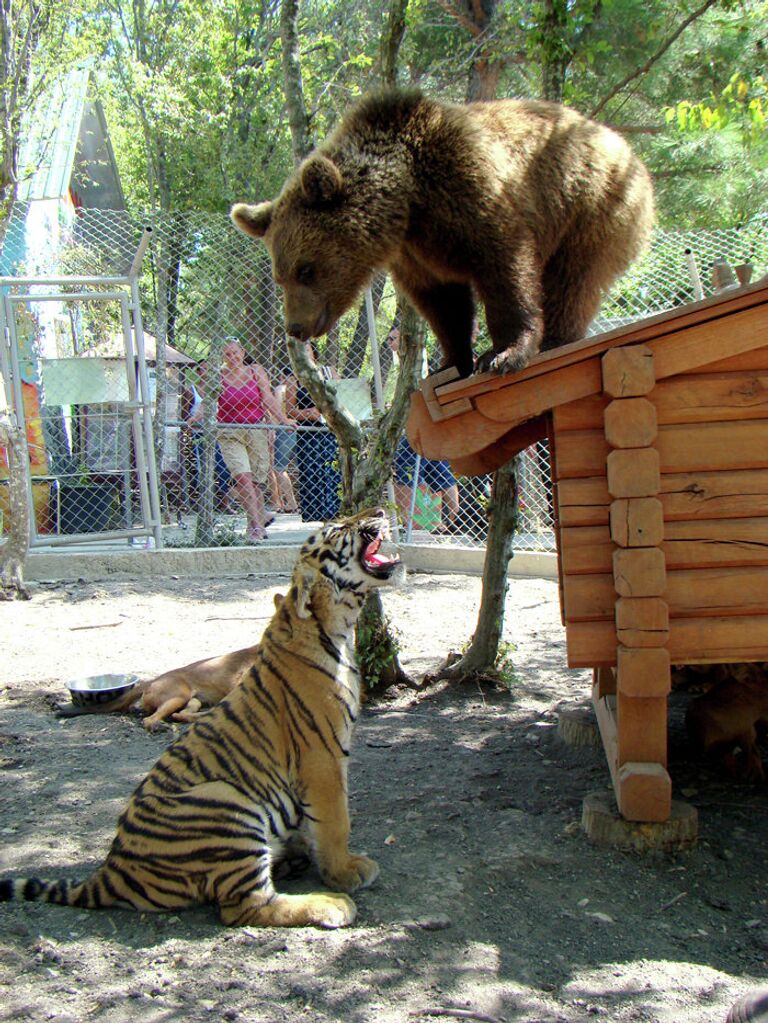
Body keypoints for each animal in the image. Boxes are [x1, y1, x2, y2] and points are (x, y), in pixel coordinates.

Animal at [0, 509, 404, 928]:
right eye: (337, 529)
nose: (378, 511)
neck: (336, 627)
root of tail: (108, 874)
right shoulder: (321, 759)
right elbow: (335, 821)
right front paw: (344, 871)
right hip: (229, 803)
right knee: (245, 907)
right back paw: (331, 904)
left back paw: (292, 861)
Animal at [230, 90, 654, 378]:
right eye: (279, 276)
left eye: (306, 269)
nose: (295, 327)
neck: (410, 201)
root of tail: (625, 146)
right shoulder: (414, 252)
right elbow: (442, 302)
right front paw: (450, 363)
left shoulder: (469, 193)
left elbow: (505, 270)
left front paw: (502, 354)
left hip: (591, 207)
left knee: (572, 280)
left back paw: (557, 337)